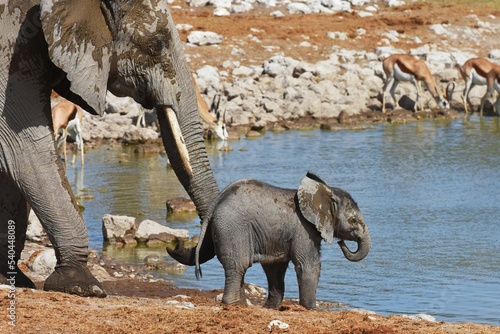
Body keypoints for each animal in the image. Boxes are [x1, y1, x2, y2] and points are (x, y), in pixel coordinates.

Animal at [0, 0, 219, 298]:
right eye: (157, 43)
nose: (175, 245)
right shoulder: (12, 49)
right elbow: (24, 150)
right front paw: (81, 285)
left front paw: (13, 279)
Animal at [195, 174, 372, 310]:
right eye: (353, 220)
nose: (341, 242)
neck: (323, 193)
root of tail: (214, 205)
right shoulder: (304, 230)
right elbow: (308, 265)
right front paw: (310, 309)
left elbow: (275, 267)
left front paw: (270, 308)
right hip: (233, 228)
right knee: (238, 266)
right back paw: (232, 305)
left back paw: (242, 306)